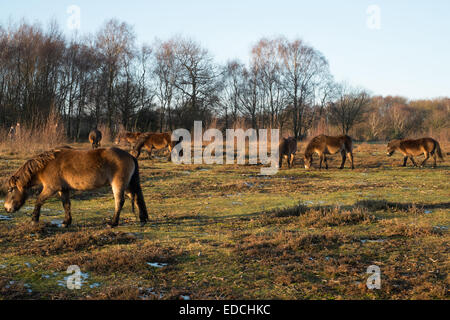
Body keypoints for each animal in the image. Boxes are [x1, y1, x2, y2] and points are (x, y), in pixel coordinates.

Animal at [3, 147, 148, 228]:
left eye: (10, 190)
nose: (6, 208)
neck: (46, 165)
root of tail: (130, 155)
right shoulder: (63, 189)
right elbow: (66, 205)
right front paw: (66, 222)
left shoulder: (51, 188)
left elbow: (38, 201)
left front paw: (34, 220)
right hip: (128, 185)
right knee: (137, 198)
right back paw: (142, 219)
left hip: (118, 185)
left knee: (119, 202)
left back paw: (112, 223)